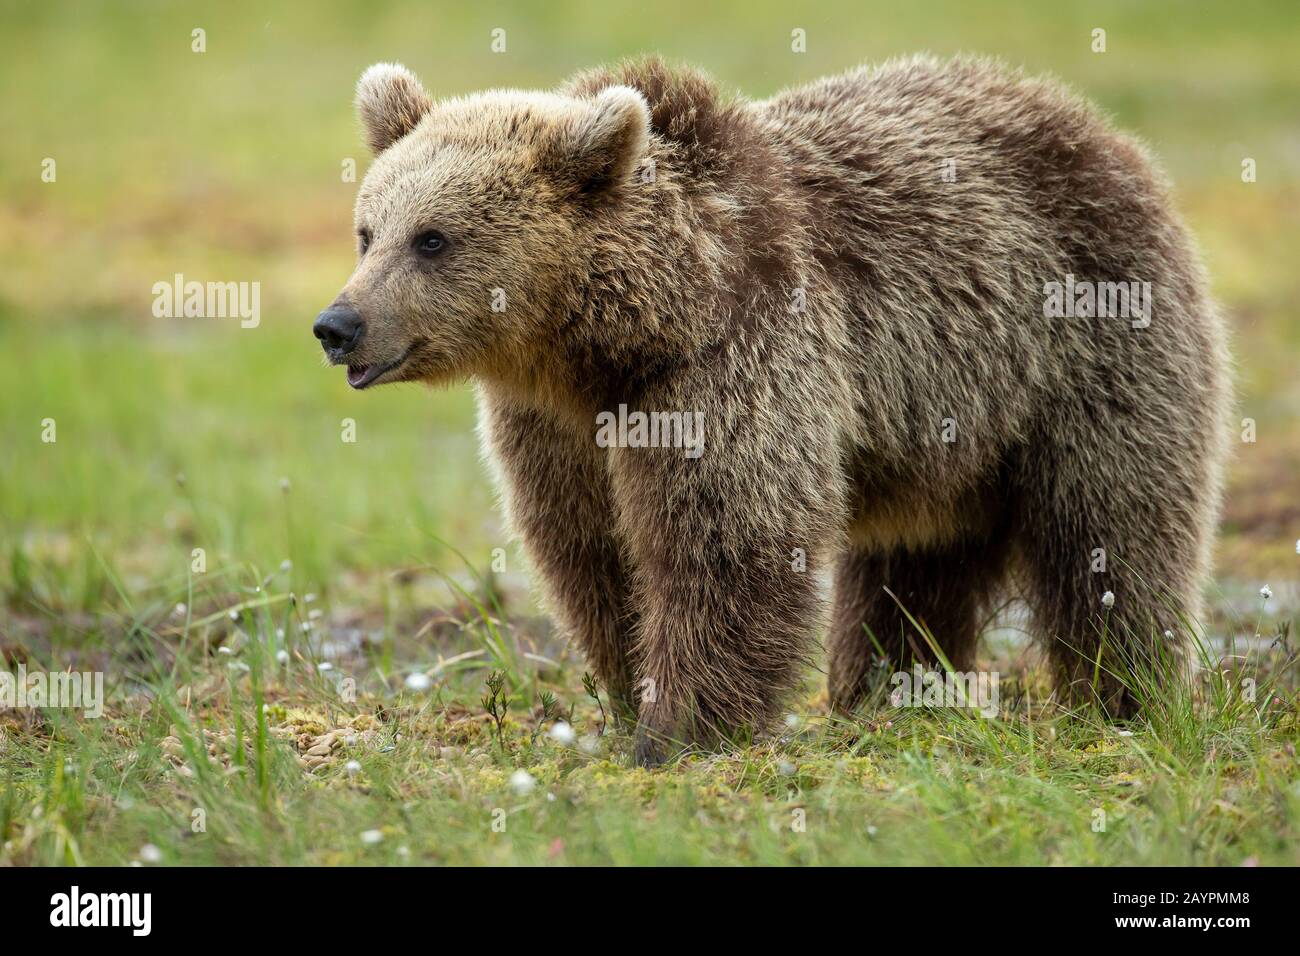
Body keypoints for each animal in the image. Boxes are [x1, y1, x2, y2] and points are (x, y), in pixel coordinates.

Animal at [314, 54, 1230, 766]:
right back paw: (887, 693)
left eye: (433, 238)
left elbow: (724, 537)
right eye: (368, 230)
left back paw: (1124, 697)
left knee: (1112, 531)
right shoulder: (554, 426)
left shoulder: (732, 361)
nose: (338, 325)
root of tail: (1099, 131)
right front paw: (630, 692)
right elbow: (589, 550)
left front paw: (679, 731)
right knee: (915, 566)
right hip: (949, 433)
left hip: (1087, 348)